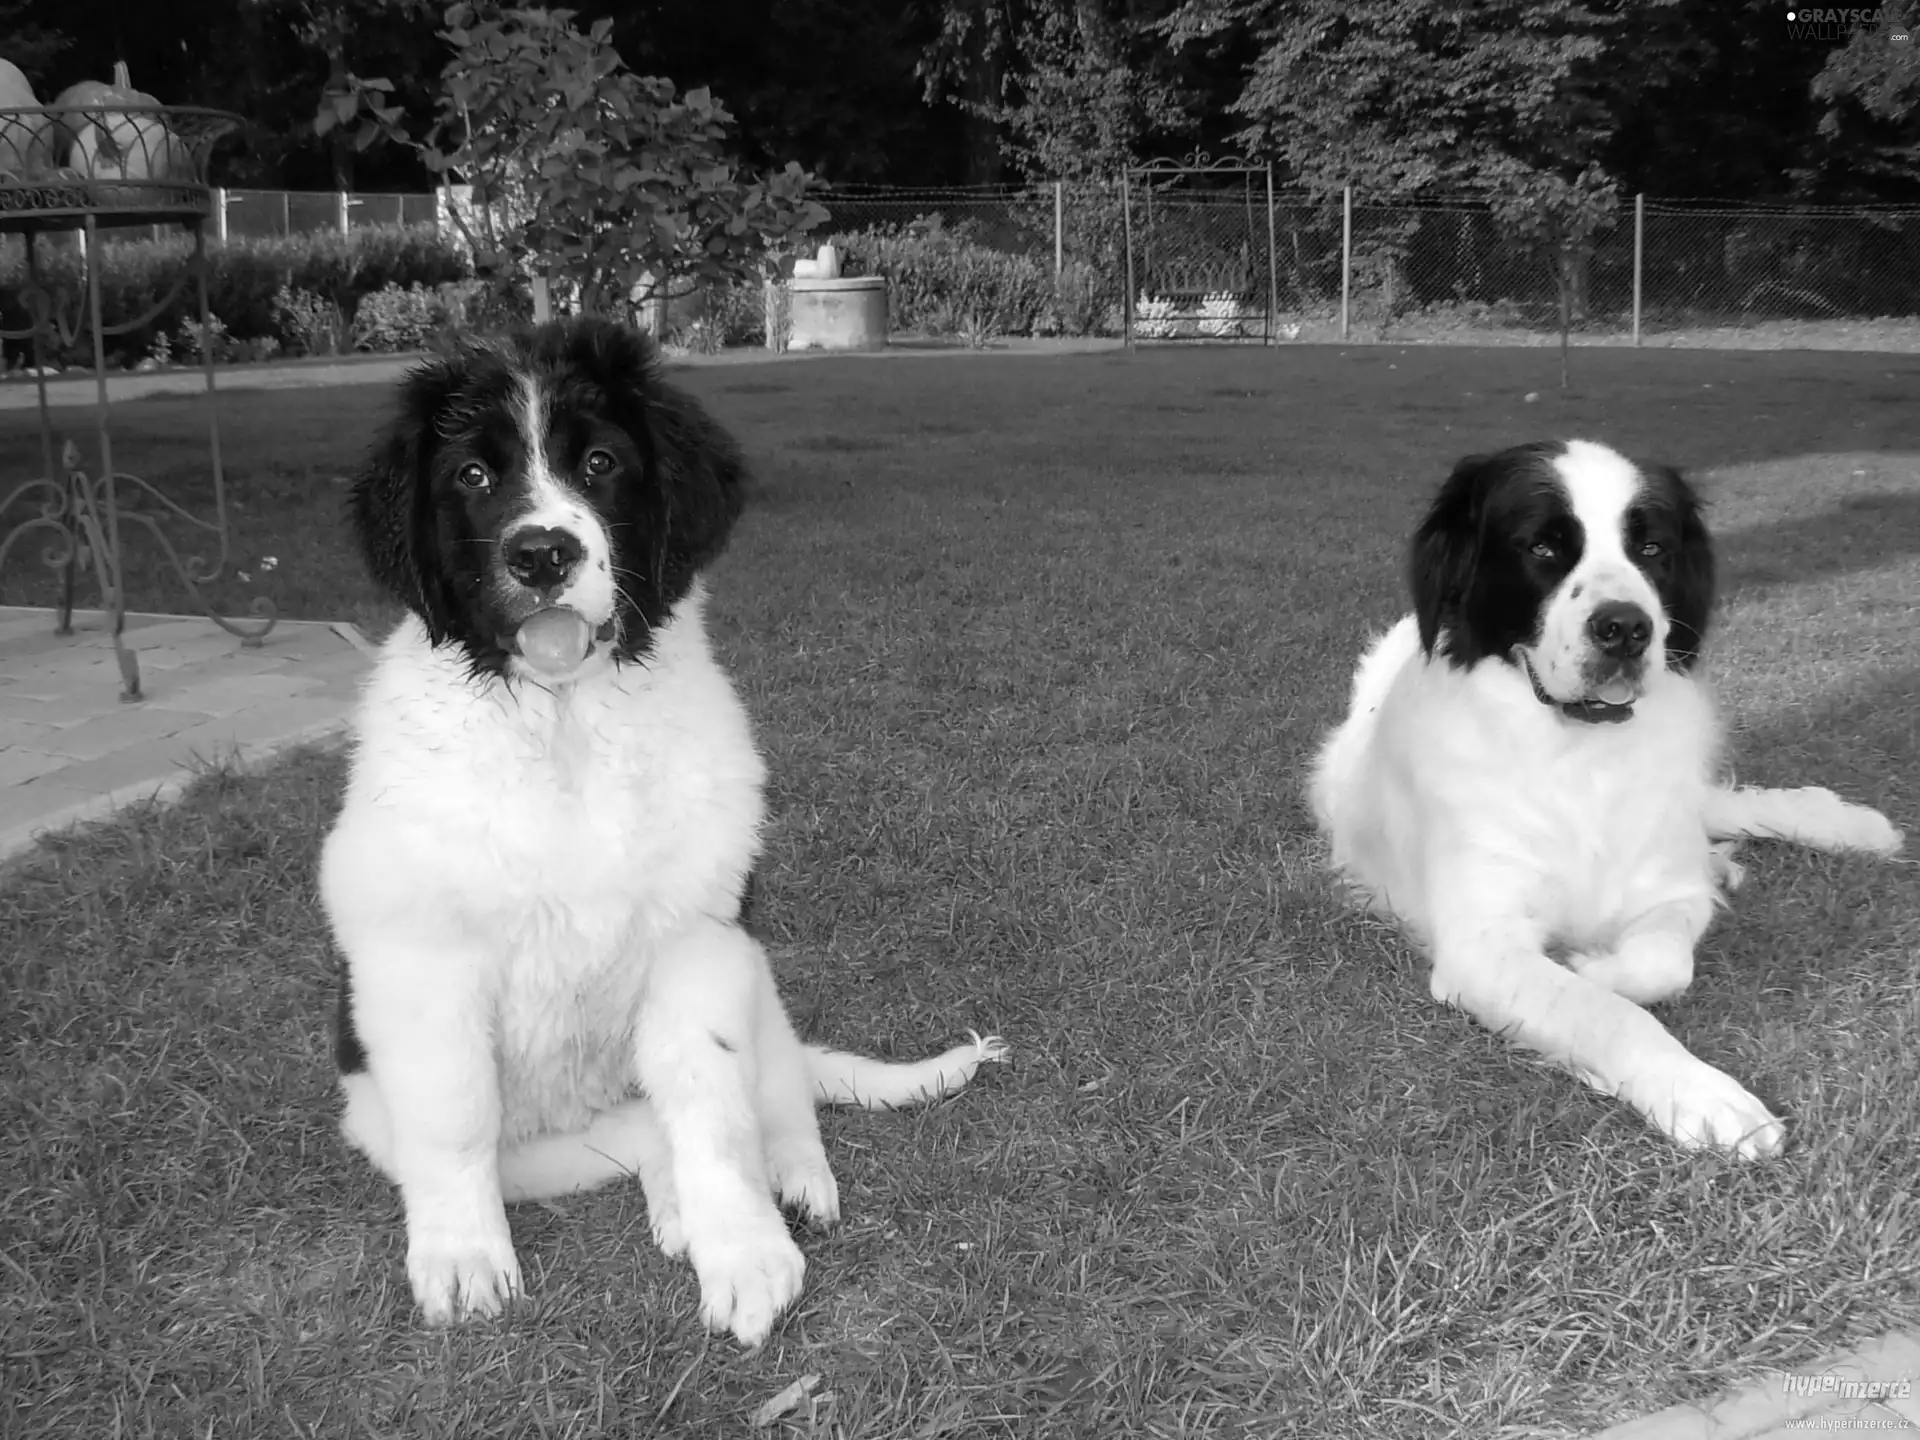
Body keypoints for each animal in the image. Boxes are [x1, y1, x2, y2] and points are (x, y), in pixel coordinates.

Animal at [318, 320, 1006, 1351]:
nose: (543, 555)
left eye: (600, 463)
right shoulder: (420, 964)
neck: (564, 727)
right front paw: (463, 1259)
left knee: (772, 1091)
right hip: (434, 1127)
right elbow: (453, 1119)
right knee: (631, 1136)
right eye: (472, 476)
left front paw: (747, 1255)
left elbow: (714, 1106)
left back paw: (790, 1177)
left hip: (754, 973)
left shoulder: (697, 941)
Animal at [1313, 437, 1896, 1159]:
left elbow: (1665, 962)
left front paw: (1593, 963)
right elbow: (1605, 1014)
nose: (1624, 627)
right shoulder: (1483, 948)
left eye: (1650, 549)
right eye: (1542, 547)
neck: (1579, 757)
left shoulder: (1666, 893)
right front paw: (1703, 1093)